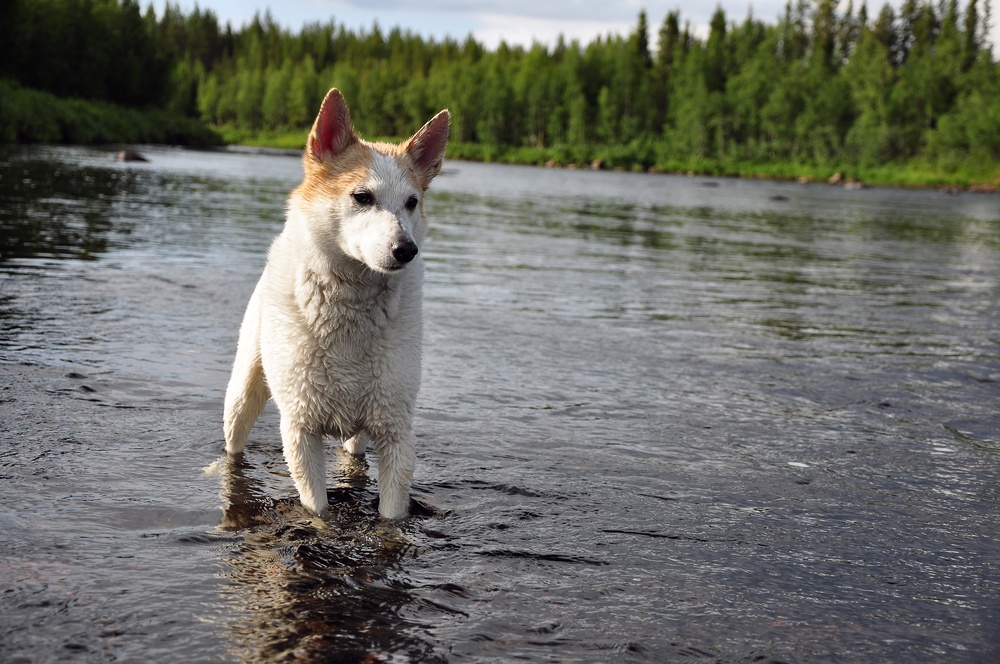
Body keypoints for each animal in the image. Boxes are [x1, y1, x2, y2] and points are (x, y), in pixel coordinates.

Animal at [225, 89, 452, 520]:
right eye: (363, 197)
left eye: (412, 202)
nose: (406, 249)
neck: (351, 304)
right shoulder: (300, 430)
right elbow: (318, 510)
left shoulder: (395, 432)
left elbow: (391, 513)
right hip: (241, 397)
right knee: (233, 444)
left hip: (362, 432)